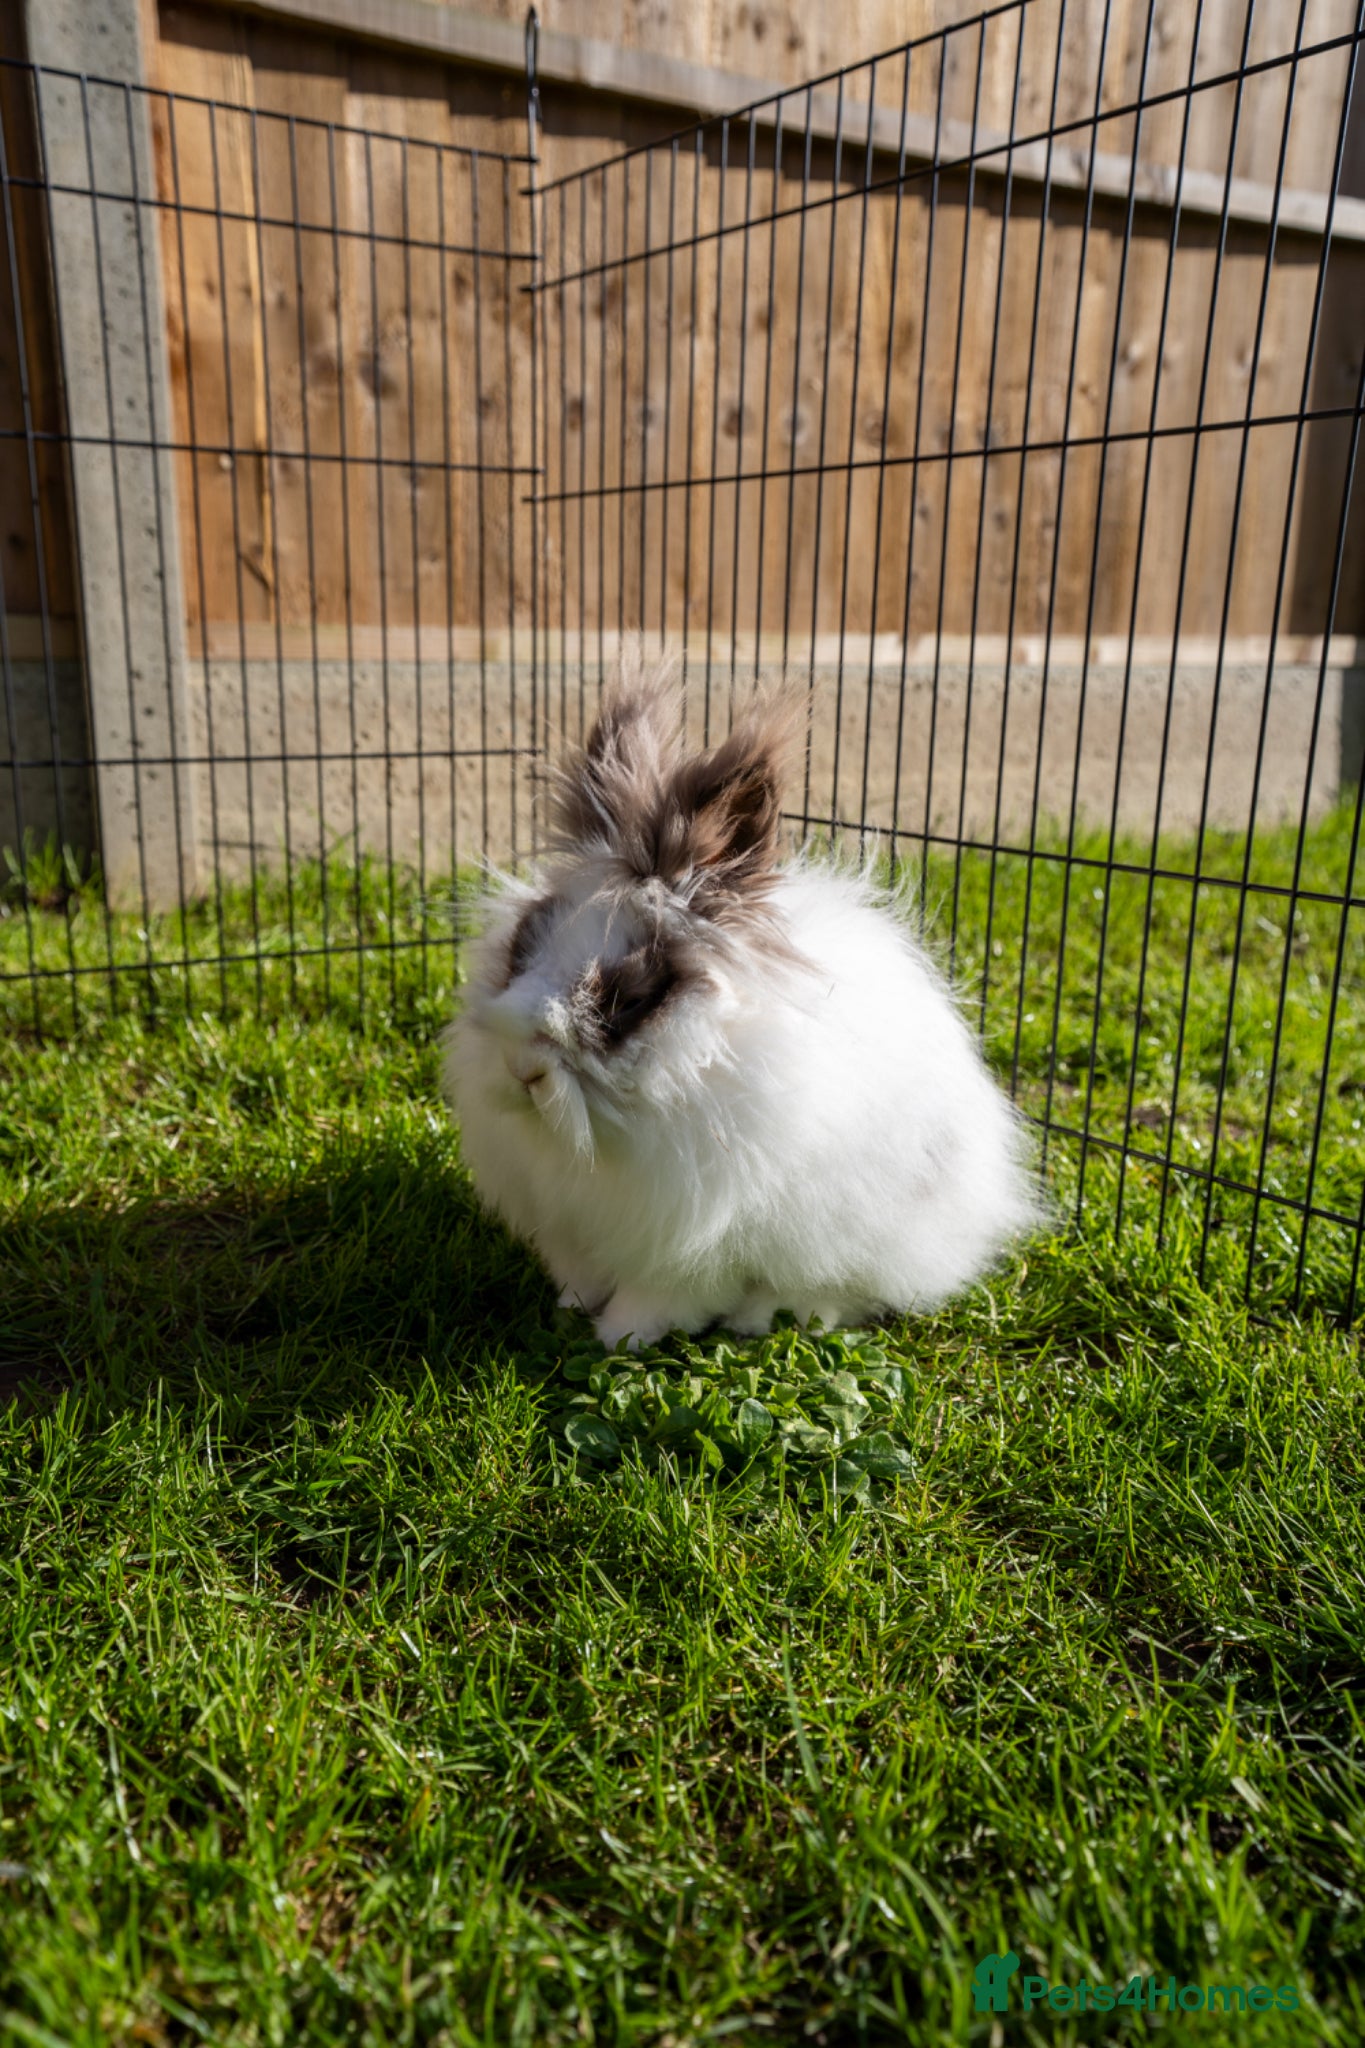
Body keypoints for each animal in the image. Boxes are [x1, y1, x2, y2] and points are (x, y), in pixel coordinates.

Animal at [445, 660, 1039, 1351]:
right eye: (523, 947)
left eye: (632, 997)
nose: (525, 1070)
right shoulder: (572, 1226)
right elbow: (580, 1277)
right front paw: (568, 1311)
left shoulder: (692, 1248)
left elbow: (659, 1298)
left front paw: (616, 1340)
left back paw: (770, 1319)